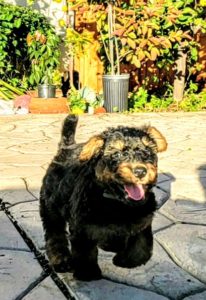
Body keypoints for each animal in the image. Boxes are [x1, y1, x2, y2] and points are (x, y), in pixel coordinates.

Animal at [39, 115, 167, 282]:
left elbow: (142, 248)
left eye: (147, 152)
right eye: (117, 154)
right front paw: (87, 272)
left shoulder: (143, 221)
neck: (118, 203)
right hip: (51, 205)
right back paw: (62, 260)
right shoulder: (83, 227)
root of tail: (66, 148)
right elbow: (85, 251)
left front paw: (125, 260)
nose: (140, 171)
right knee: (55, 234)